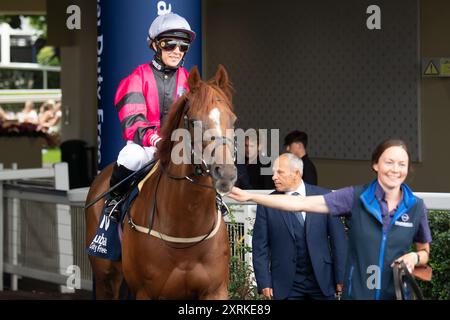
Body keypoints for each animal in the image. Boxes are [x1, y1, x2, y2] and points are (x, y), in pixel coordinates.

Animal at [85, 65, 237, 300]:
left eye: (233, 119)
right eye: (193, 121)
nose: (226, 173)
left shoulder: (215, 290)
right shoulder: (145, 292)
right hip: (105, 278)